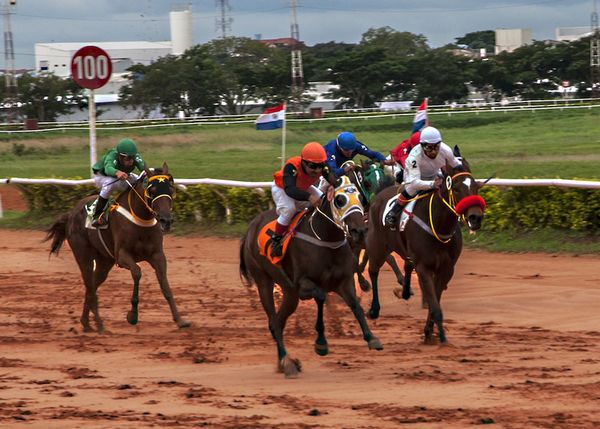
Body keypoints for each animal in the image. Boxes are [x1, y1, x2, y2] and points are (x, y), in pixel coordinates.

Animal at [44, 162, 190, 332]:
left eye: (170, 189)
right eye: (152, 191)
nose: (166, 220)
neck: (140, 219)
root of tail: (71, 213)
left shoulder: (157, 255)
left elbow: (165, 286)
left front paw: (180, 320)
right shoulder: (122, 256)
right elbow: (137, 272)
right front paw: (132, 316)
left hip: (104, 261)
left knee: (92, 286)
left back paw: (89, 323)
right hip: (83, 256)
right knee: (90, 286)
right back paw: (97, 324)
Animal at [238, 177, 382, 378]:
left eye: (360, 197)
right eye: (339, 200)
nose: (359, 231)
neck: (326, 239)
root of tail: (250, 229)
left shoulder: (344, 282)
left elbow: (356, 306)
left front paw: (371, 338)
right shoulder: (303, 285)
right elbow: (321, 297)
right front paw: (321, 343)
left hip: (289, 293)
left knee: (279, 322)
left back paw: (285, 362)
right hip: (264, 281)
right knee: (274, 322)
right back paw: (287, 363)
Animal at [364, 148, 486, 344]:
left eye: (475, 186)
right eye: (456, 188)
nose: (475, 217)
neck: (438, 225)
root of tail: (379, 194)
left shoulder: (446, 269)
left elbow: (434, 300)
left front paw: (429, 331)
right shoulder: (424, 267)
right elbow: (434, 305)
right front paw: (440, 336)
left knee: (406, 265)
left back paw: (405, 291)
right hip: (377, 245)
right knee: (374, 271)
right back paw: (374, 310)